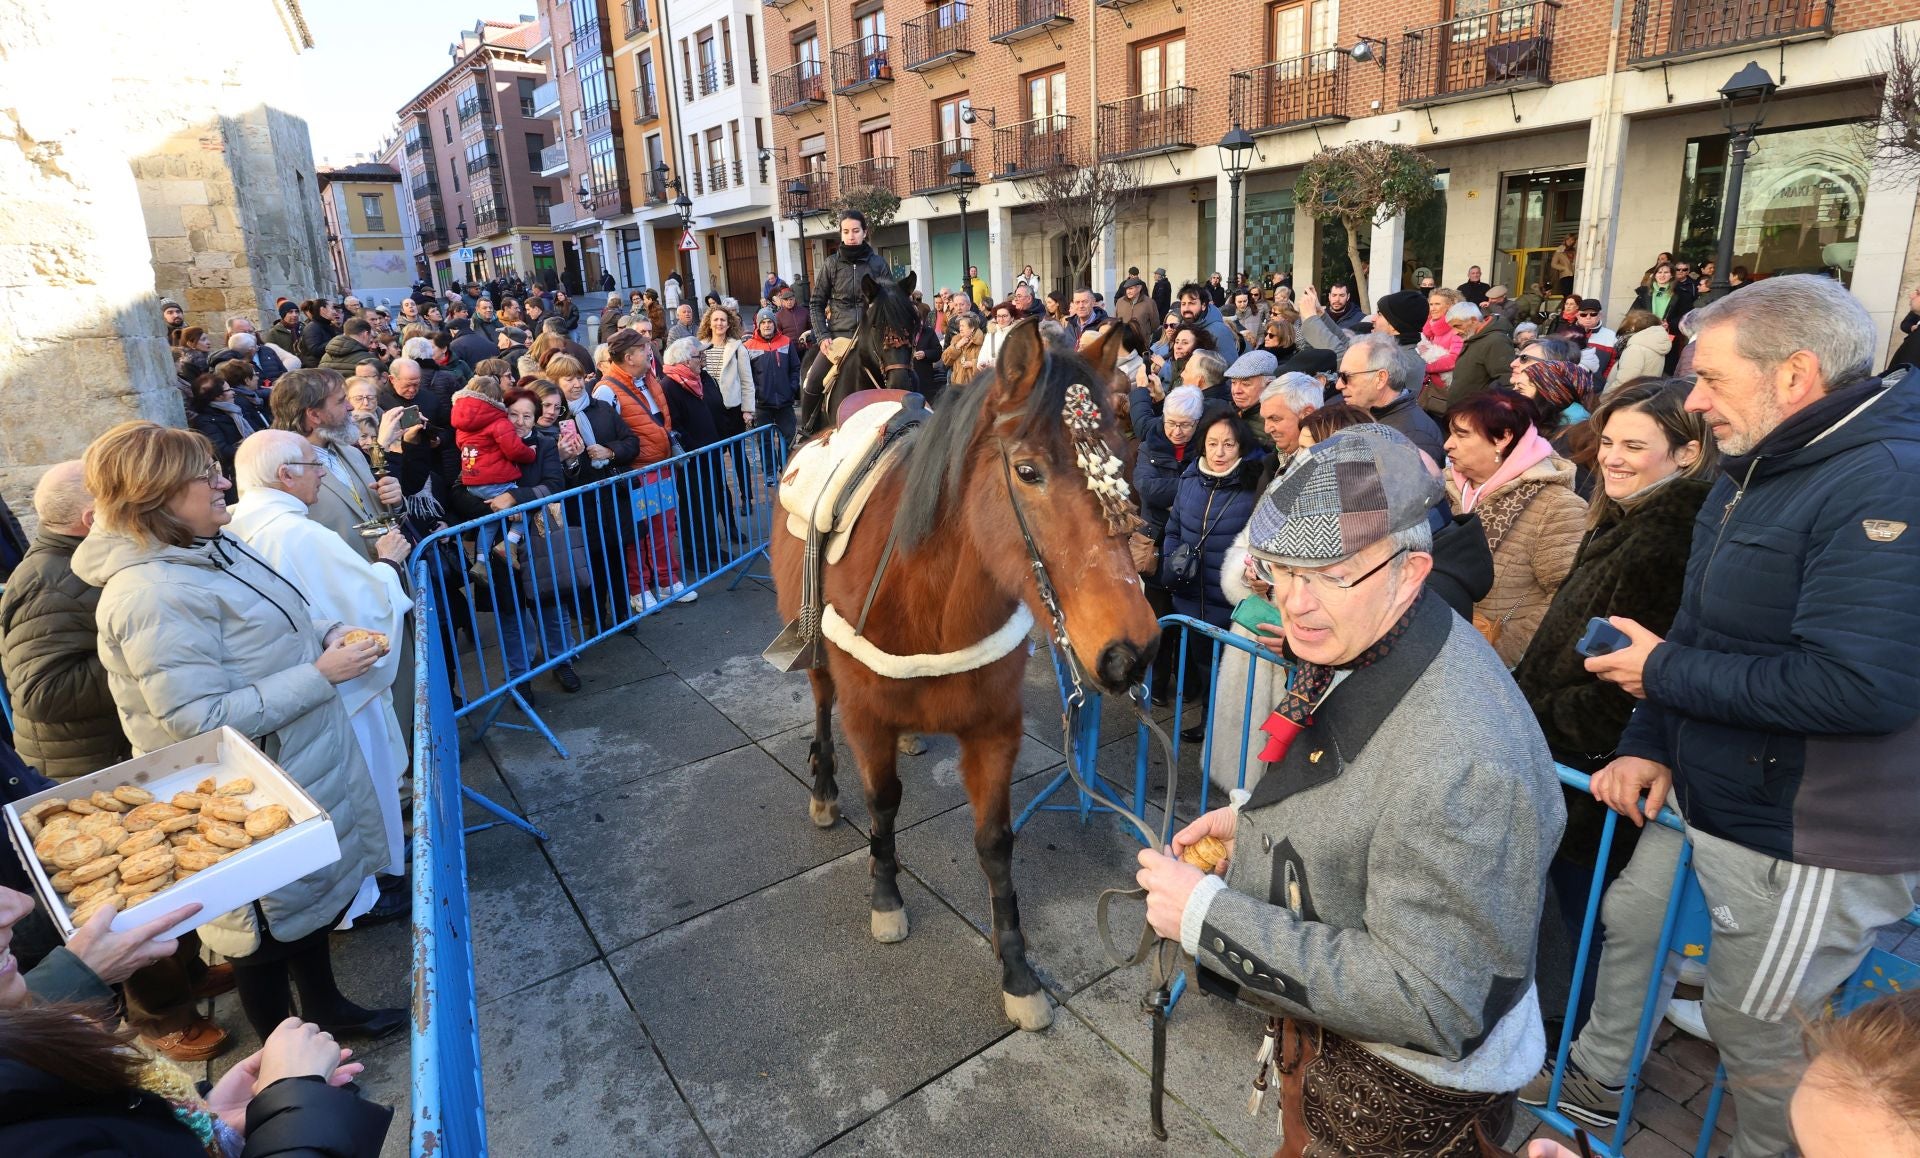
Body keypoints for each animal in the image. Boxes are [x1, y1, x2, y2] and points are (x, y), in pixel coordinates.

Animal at [764, 318, 1152, 1029]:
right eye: (1027, 471)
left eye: (1123, 461)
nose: (1130, 653)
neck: (927, 595)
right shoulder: (867, 715)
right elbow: (883, 803)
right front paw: (886, 896)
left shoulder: (995, 729)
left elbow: (995, 842)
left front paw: (1018, 971)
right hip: (817, 660)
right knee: (823, 706)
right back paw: (826, 788)